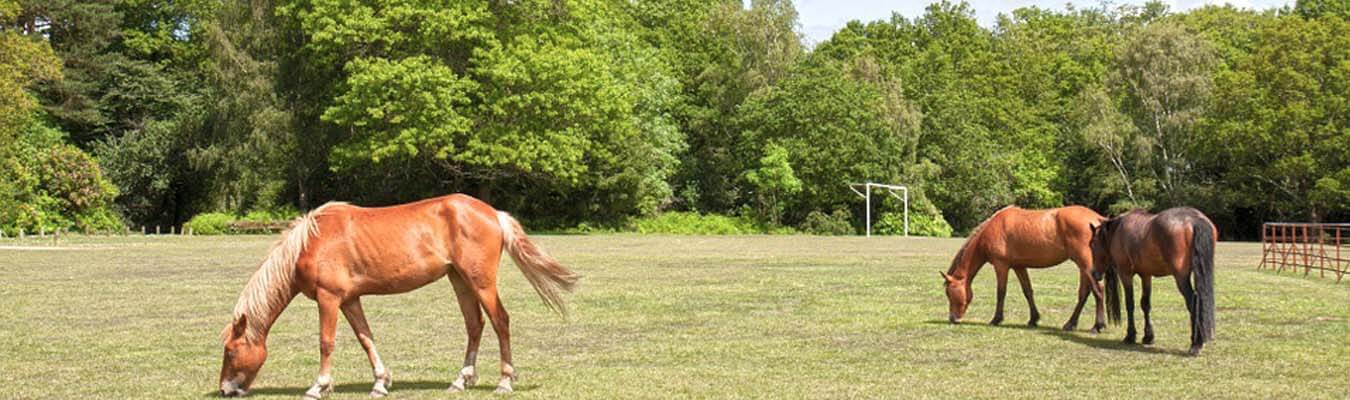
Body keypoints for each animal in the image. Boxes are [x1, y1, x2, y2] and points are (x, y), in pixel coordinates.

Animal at [218, 194, 579, 398]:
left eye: (231, 351)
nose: (225, 390)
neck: (311, 242)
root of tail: (493, 213)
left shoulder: (329, 298)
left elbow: (326, 342)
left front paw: (318, 386)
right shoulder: (350, 299)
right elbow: (366, 338)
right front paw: (380, 383)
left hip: (481, 282)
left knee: (500, 321)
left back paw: (504, 381)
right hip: (460, 280)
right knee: (474, 325)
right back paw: (460, 380)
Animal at [941, 205, 1108, 332]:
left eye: (950, 293)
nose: (953, 319)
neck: (992, 229)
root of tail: (1097, 218)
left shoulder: (1001, 266)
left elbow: (1001, 292)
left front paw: (996, 319)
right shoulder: (1019, 267)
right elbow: (1028, 291)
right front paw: (1033, 319)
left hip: (1085, 264)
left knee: (1098, 290)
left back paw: (1097, 326)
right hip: (1083, 266)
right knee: (1084, 294)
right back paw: (1070, 324)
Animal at [1092, 207, 1216, 356]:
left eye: (1092, 245)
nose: (1094, 274)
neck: (1118, 229)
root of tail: (1194, 219)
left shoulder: (1125, 274)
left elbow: (1130, 303)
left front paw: (1130, 336)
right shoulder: (1146, 275)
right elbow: (1145, 304)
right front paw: (1148, 336)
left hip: (1181, 277)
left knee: (1193, 302)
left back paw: (1196, 344)